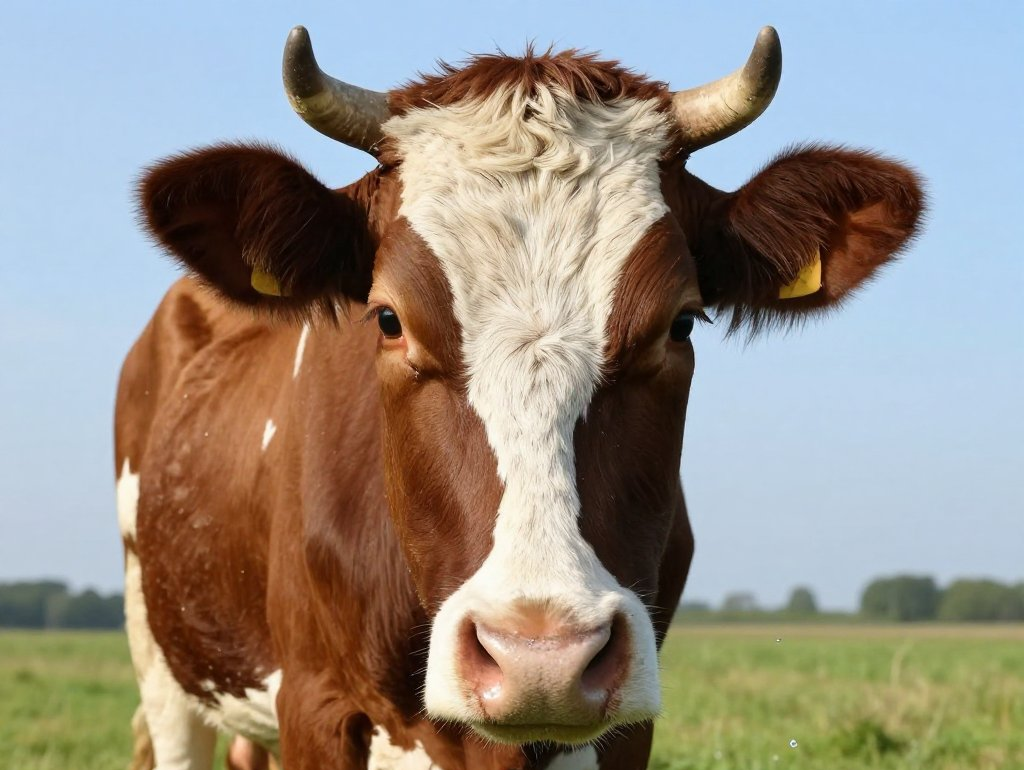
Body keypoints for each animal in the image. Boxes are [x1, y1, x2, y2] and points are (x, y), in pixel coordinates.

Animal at [115, 24, 923, 770]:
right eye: (388, 318)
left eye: (682, 321)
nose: (540, 659)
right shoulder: (315, 704)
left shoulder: (627, 725)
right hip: (163, 662)